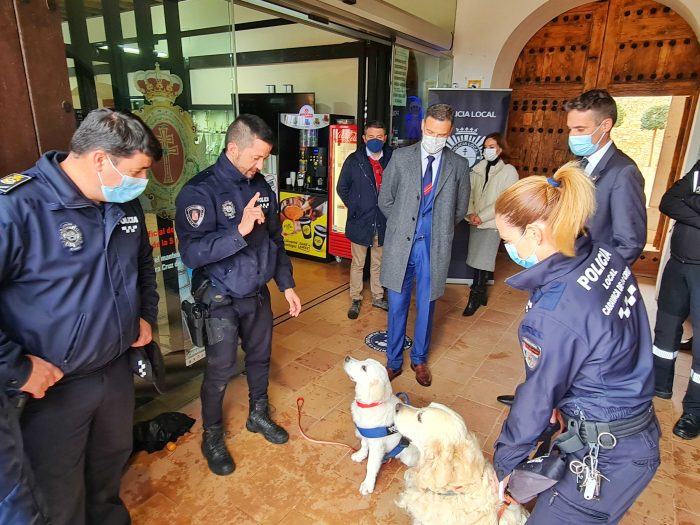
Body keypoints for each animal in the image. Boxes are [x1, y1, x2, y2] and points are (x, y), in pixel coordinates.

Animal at [344, 354, 418, 494]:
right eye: (364, 361)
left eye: (364, 367)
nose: (346, 358)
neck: (369, 405)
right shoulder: (366, 433)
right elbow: (364, 445)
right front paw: (360, 455)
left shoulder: (377, 446)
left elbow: (371, 465)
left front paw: (368, 484)